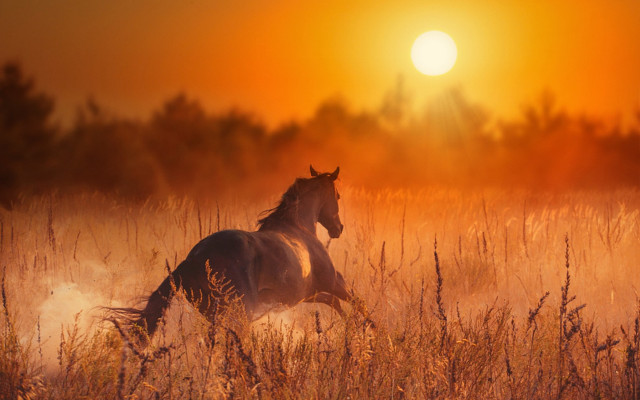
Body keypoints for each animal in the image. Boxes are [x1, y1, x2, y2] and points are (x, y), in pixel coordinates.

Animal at [114, 166, 369, 344]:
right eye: (337, 195)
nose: (338, 229)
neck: (299, 226)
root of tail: (192, 260)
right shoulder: (333, 281)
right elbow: (356, 301)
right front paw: (367, 332)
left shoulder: (305, 294)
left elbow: (334, 302)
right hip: (240, 311)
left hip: (215, 313)